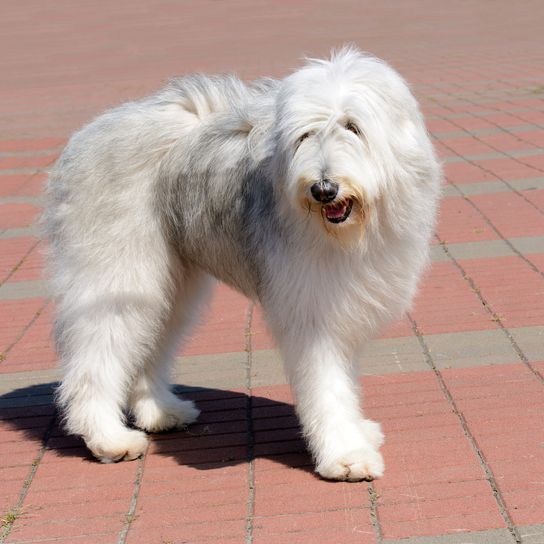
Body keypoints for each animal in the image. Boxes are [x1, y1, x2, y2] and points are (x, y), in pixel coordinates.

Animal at [42, 47, 442, 480]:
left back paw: (161, 412)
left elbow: (345, 378)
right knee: (97, 355)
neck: (350, 234)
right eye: (305, 135)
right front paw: (346, 454)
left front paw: (358, 431)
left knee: (149, 340)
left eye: (353, 127)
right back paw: (108, 438)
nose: (323, 189)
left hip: (173, 284)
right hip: (119, 274)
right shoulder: (312, 311)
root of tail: (90, 133)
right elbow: (327, 385)